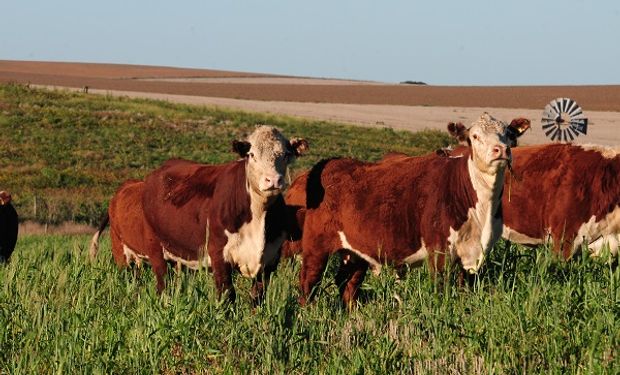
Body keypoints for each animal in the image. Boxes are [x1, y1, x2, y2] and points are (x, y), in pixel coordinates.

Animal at [90, 126, 310, 302]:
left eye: (285, 155)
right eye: (252, 155)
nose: (273, 180)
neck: (258, 216)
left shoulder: (269, 262)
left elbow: (257, 299)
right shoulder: (219, 256)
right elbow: (227, 296)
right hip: (144, 252)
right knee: (160, 285)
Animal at [296, 114, 512, 308]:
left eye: (508, 134)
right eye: (475, 136)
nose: (501, 149)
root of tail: (330, 163)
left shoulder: (470, 258)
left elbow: (463, 289)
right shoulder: (439, 250)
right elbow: (440, 289)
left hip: (354, 251)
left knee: (348, 283)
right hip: (316, 245)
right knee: (309, 281)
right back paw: (308, 313)